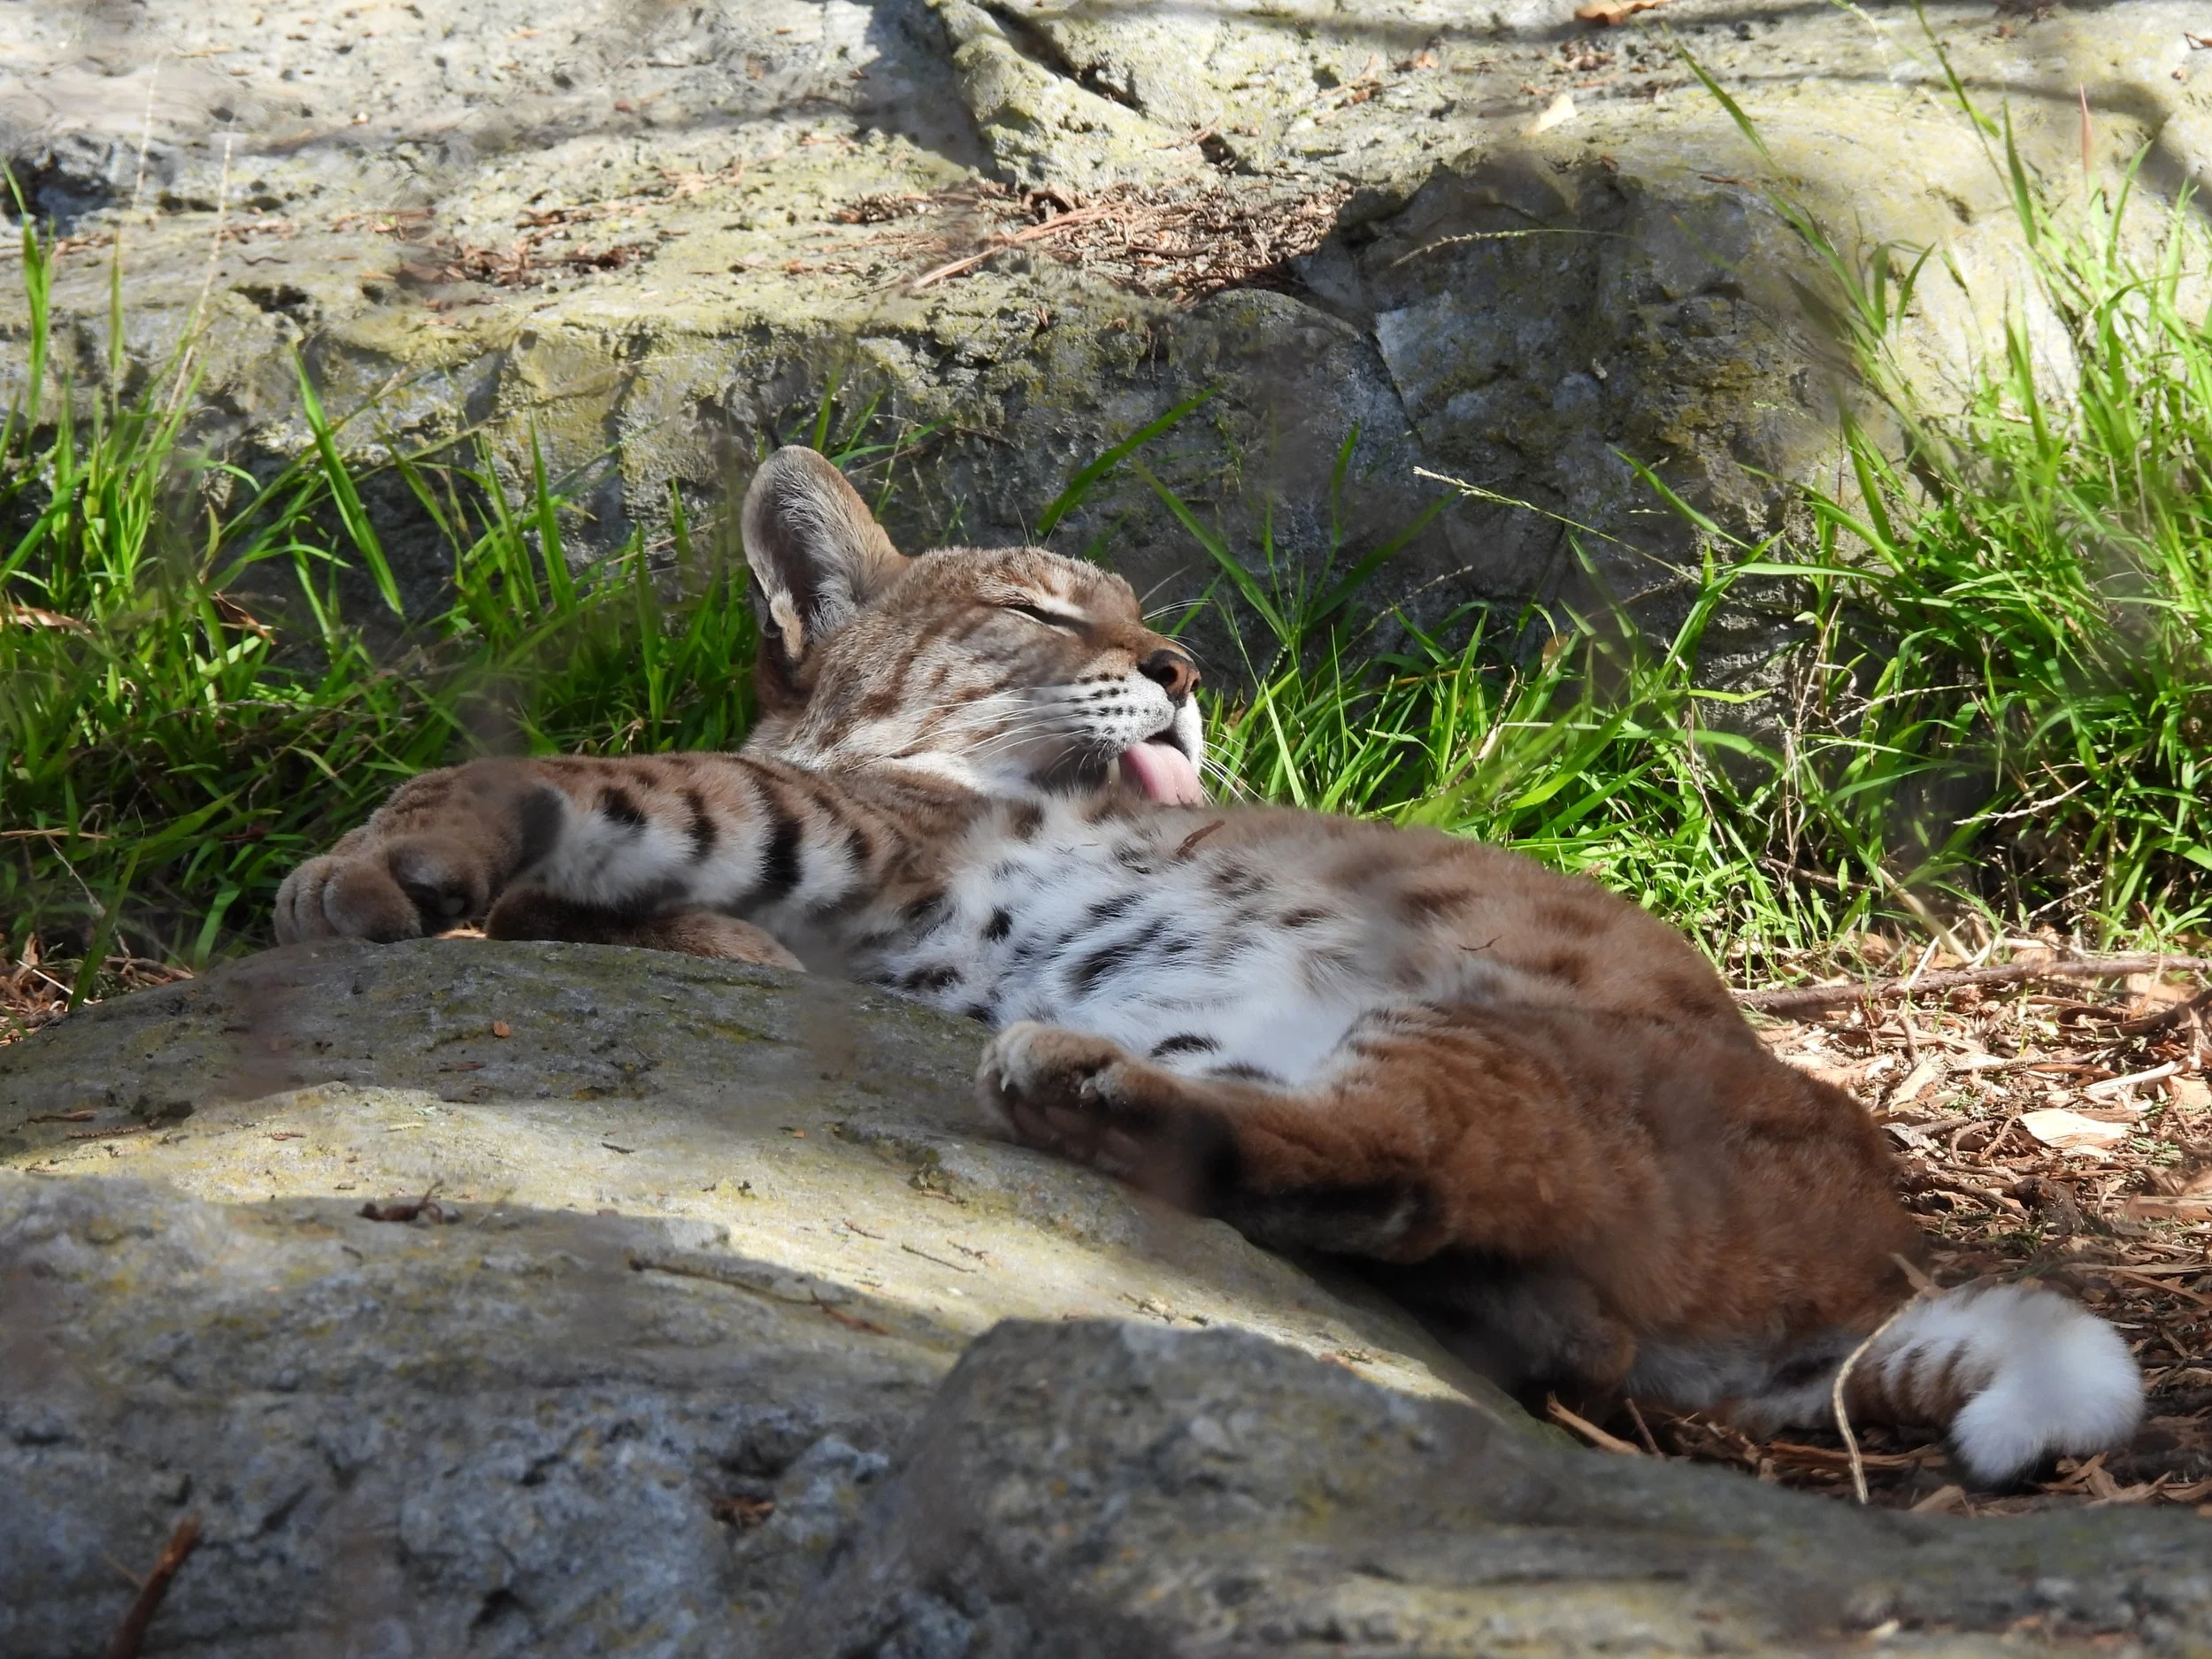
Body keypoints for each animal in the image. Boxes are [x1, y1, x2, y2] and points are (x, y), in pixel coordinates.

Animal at [274, 445, 2140, 1485]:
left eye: (1128, 614)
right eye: (1043, 614)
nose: (1179, 666)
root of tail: (1876, 1244)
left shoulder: (863, 834)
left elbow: (601, 777)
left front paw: (367, 861)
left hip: (1464, 1011)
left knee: (1417, 1164)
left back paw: (1080, 1084)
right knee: (1442, 1241)